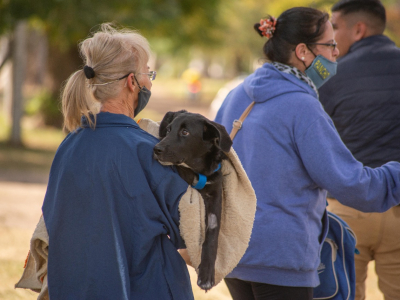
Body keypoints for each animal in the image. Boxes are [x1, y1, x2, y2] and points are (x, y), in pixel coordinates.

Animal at [154, 110, 234, 290]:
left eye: (185, 132)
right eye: (168, 130)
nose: (156, 149)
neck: (197, 171)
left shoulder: (215, 194)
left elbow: (213, 233)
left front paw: (206, 274)